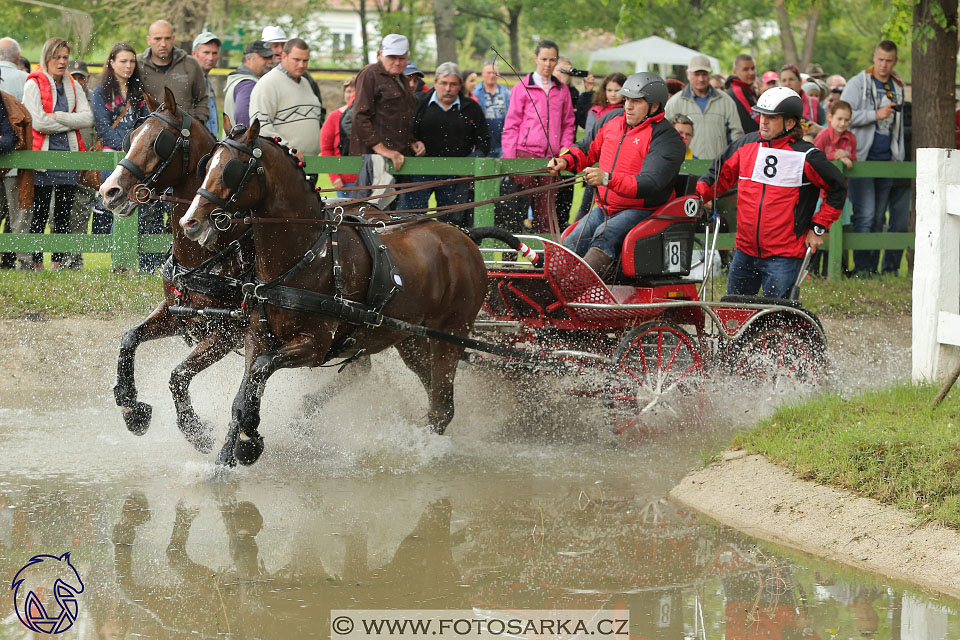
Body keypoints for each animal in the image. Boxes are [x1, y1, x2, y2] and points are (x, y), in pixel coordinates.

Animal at [100, 87, 253, 452]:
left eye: (159, 141)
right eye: (130, 137)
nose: (109, 191)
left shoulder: (226, 332)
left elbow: (178, 375)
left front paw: (195, 429)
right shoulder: (175, 313)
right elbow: (129, 338)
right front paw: (131, 407)